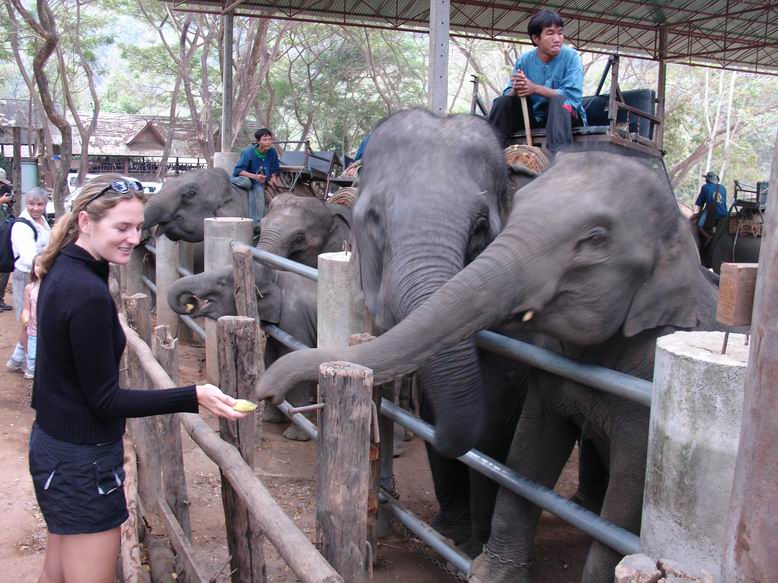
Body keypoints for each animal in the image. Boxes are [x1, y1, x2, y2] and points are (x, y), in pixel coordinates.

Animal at [256, 148, 720, 580]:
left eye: (595, 239)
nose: (262, 392)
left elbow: (622, 485)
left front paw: (473, 555)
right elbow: (529, 450)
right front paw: (478, 562)